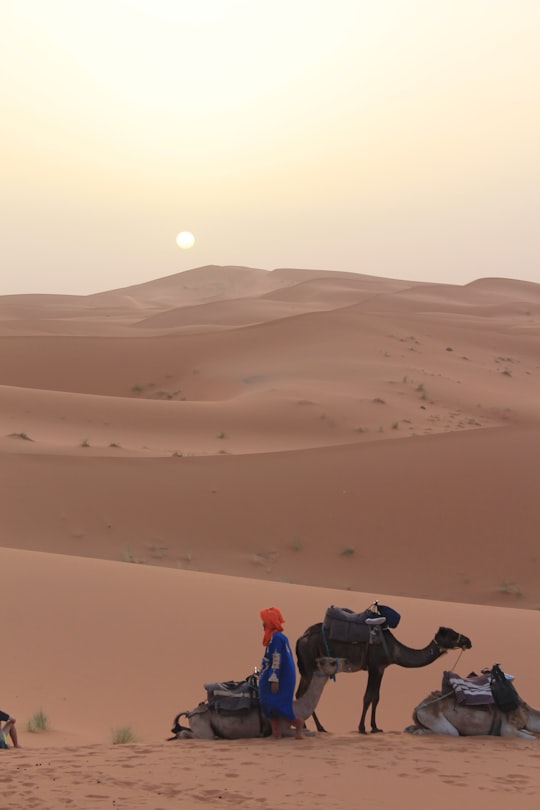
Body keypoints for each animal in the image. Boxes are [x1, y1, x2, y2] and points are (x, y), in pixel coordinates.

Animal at [171, 656, 352, 740]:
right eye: (331, 662)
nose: (345, 660)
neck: (296, 707)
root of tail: (190, 712)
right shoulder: (283, 728)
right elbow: (308, 733)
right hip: (203, 729)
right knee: (192, 735)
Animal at [298, 620, 470, 736]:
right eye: (452, 634)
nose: (468, 641)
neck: (393, 649)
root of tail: (300, 639)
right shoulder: (374, 667)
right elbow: (367, 697)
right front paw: (362, 728)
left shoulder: (381, 669)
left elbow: (376, 697)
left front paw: (375, 727)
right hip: (309, 665)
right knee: (304, 694)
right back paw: (316, 727)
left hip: (306, 668)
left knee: (300, 693)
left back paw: (307, 726)